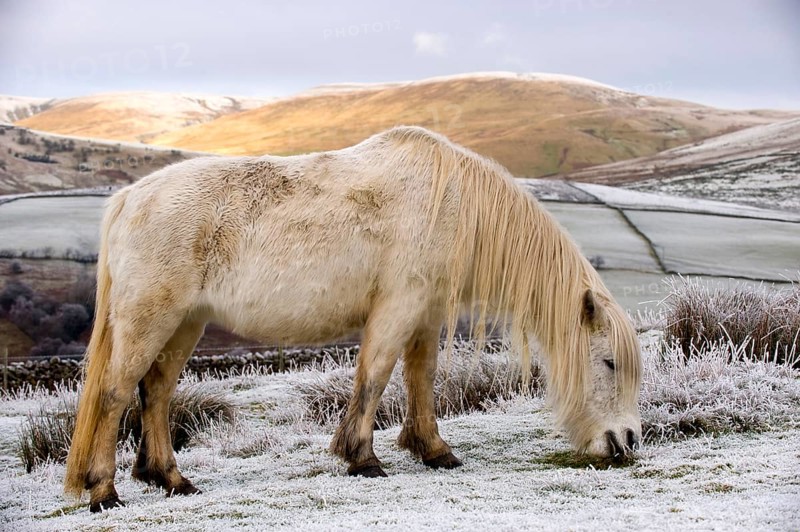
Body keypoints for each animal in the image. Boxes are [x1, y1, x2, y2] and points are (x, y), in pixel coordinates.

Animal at [64, 126, 642, 512]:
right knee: (116, 394)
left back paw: (171, 479)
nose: (628, 441)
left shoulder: (426, 313)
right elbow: (376, 375)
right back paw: (104, 490)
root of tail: (128, 198)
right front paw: (362, 457)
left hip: (186, 322)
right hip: (151, 318)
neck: (451, 201)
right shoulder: (399, 306)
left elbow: (421, 378)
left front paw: (433, 450)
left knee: (156, 391)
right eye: (609, 363)